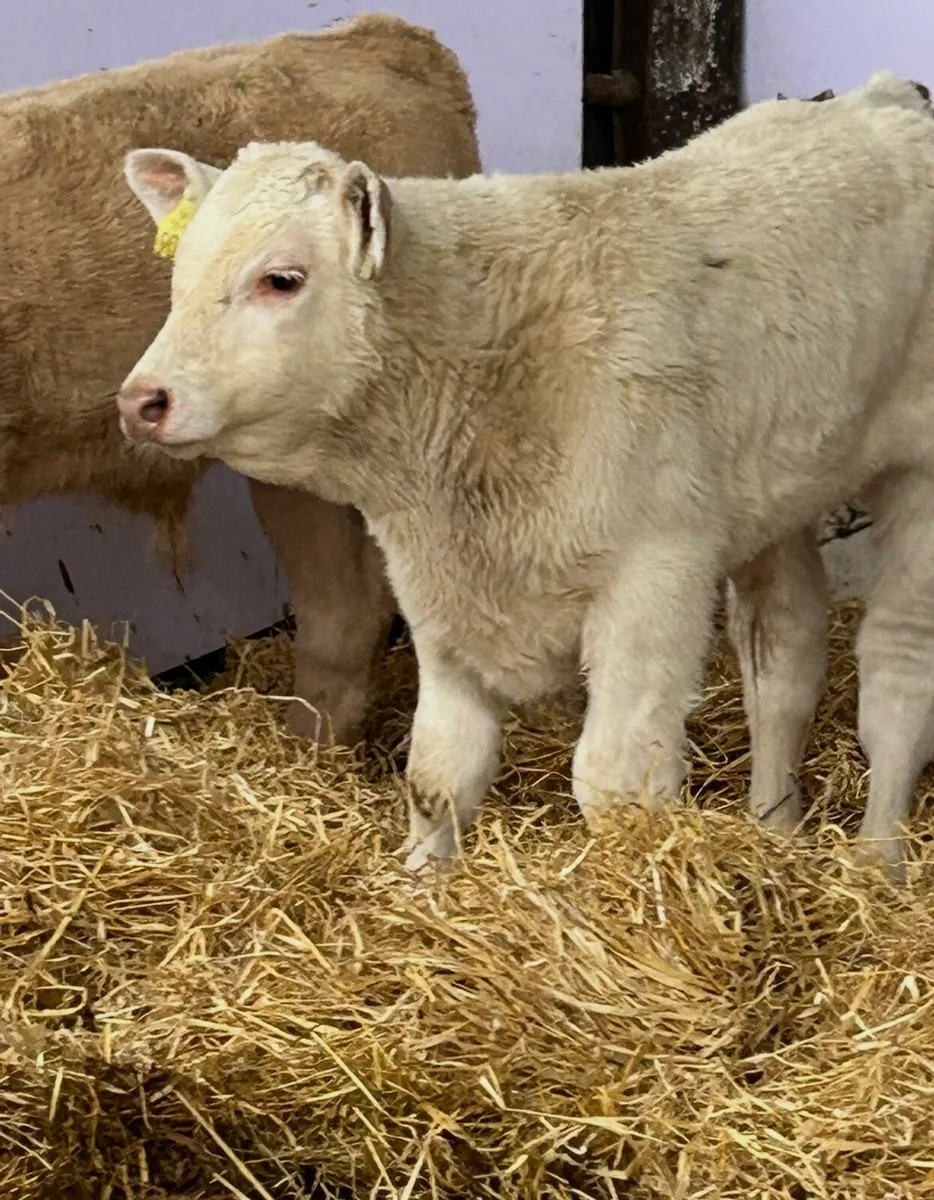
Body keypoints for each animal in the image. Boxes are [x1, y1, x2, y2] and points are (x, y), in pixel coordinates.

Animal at [115, 72, 934, 876]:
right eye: (180, 274)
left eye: (281, 279)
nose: (141, 399)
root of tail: (884, 96)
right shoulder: (439, 594)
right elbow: (439, 772)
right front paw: (418, 887)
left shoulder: (654, 578)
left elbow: (614, 784)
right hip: (780, 486)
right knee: (783, 655)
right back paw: (775, 827)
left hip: (919, 474)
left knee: (897, 669)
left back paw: (877, 864)